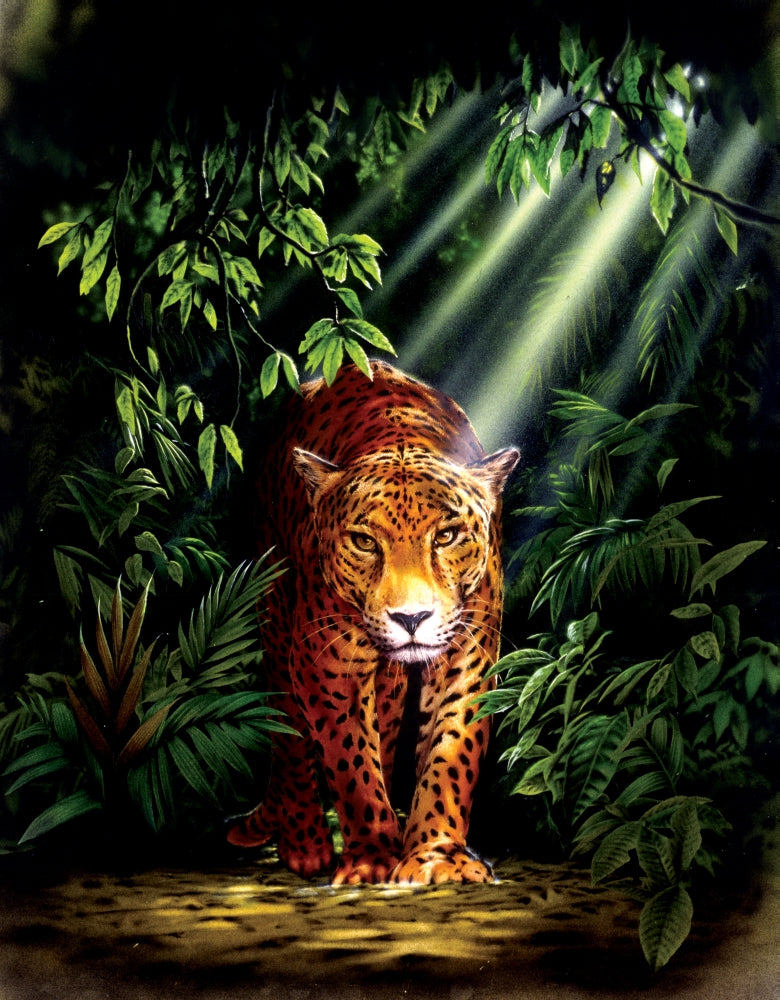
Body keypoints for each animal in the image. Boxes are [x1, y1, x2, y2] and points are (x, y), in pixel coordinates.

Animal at [226, 360, 519, 885]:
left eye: (446, 536)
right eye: (364, 542)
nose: (411, 617)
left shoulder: (468, 654)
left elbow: (451, 752)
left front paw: (436, 855)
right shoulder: (327, 662)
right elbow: (350, 759)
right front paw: (371, 859)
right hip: (276, 612)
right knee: (291, 730)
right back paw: (305, 844)